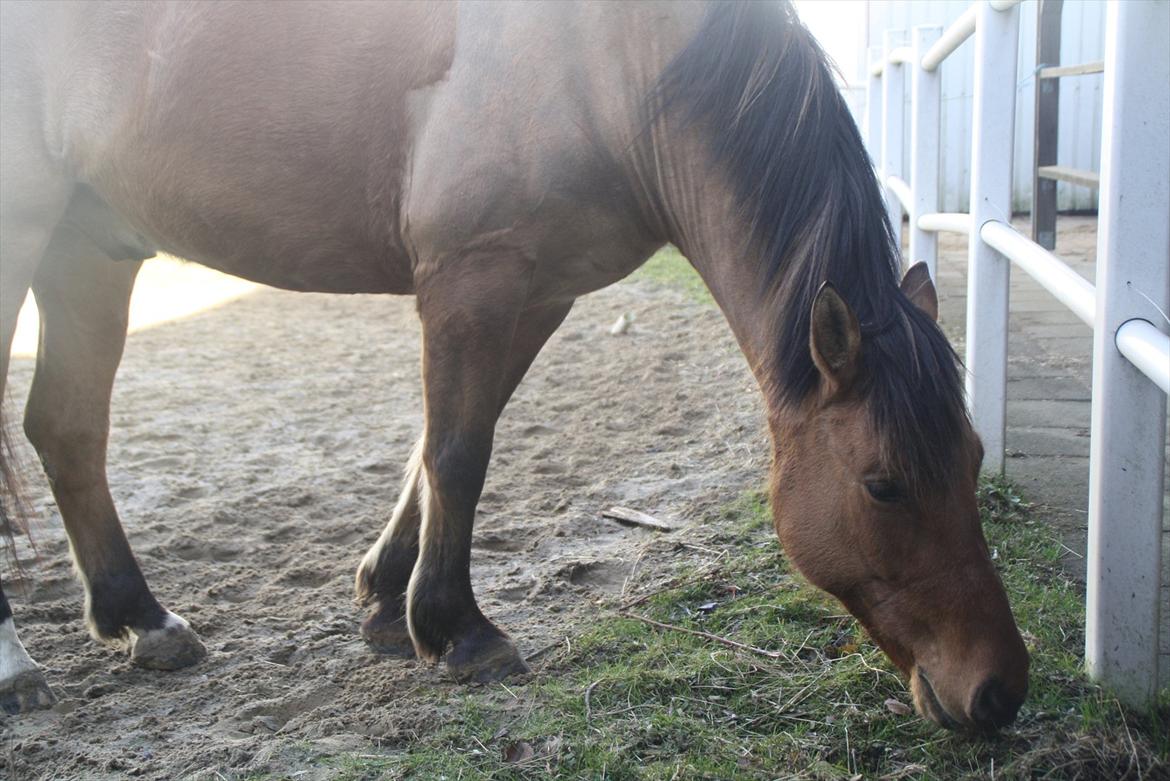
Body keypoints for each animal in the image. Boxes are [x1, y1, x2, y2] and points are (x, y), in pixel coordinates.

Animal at [0, 1, 1029, 734]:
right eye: (883, 484)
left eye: (975, 458)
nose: (1001, 689)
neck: (608, 63)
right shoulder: (474, 277)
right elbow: (458, 453)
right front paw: (459, 630)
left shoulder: (537, 291)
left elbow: (439, 445)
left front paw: (388, 601)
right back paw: (22, 666)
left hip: (86, 253)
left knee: (67, 427)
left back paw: (142, 617)